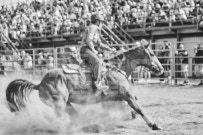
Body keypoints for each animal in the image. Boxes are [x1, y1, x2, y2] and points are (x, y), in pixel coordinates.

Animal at [5, 42, 164, 130]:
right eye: (151, 54)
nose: (161, 69)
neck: (118, 69)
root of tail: (40, 83)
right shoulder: (127, 95)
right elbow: (139, 108)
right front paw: (154, 125)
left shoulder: (115, 98)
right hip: (59, 103)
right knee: (60, 119)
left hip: (67, 104)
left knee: (73, 117)